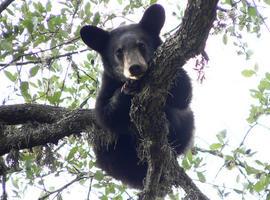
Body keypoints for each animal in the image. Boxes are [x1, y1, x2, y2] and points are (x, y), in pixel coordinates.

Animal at [80, 4, 194, 189]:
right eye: (119, 52)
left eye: (141, 45)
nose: (135, 68)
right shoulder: (107, 86)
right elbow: (105, 115)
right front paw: (124, 91)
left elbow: (184, 94)